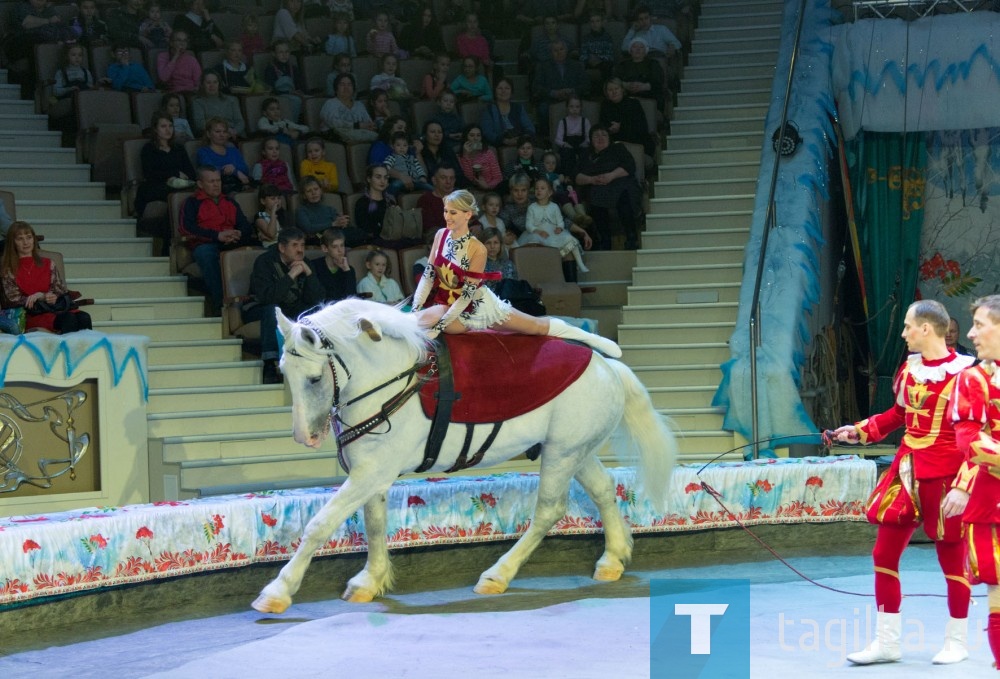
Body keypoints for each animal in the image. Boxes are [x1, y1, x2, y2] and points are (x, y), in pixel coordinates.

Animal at [254, 300, 680, 612]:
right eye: (283, 371)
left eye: (314, 379)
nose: (306, 437)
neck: (388, 380)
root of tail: (607, 365)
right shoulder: (371, 472)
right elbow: (374, 525)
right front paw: (369, 581)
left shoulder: (370, 472)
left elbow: (319, 525)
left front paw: (278, 591)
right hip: (575, 449)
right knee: (604, 489)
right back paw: (612, 558)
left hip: (562, 453)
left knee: (549, 510)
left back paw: (498, 574)